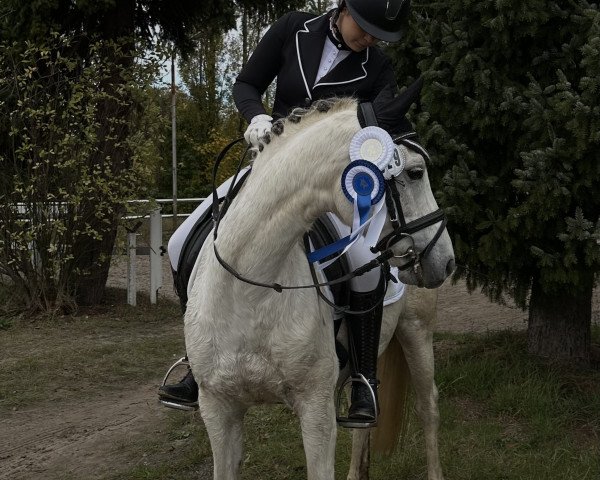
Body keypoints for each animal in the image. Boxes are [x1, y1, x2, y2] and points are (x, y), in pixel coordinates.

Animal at [185, 94, 452, 480]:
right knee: (365, 421)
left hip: (417, 329)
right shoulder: (218, 409)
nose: (445, 260)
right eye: (416, 172)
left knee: (427, 406)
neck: (251, 292)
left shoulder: (316, 409)